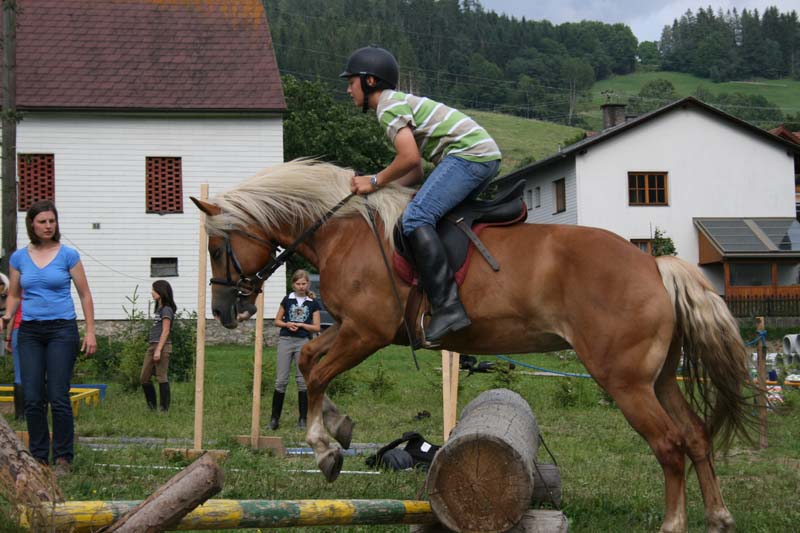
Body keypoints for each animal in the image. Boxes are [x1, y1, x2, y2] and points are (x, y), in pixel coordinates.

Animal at [192, 159, 755, 533]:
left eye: (217, 248)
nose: (225, 312)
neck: (341, 231)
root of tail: (654, 266)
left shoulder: (367, 330)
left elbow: (316, 367)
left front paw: (327, 450)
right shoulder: (350, 328)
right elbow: (310, 361)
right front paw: (338, 428)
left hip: (624, 380)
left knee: (669, 445)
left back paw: (673, 524)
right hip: (657, 378)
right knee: (696, 436)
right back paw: (720, 517)